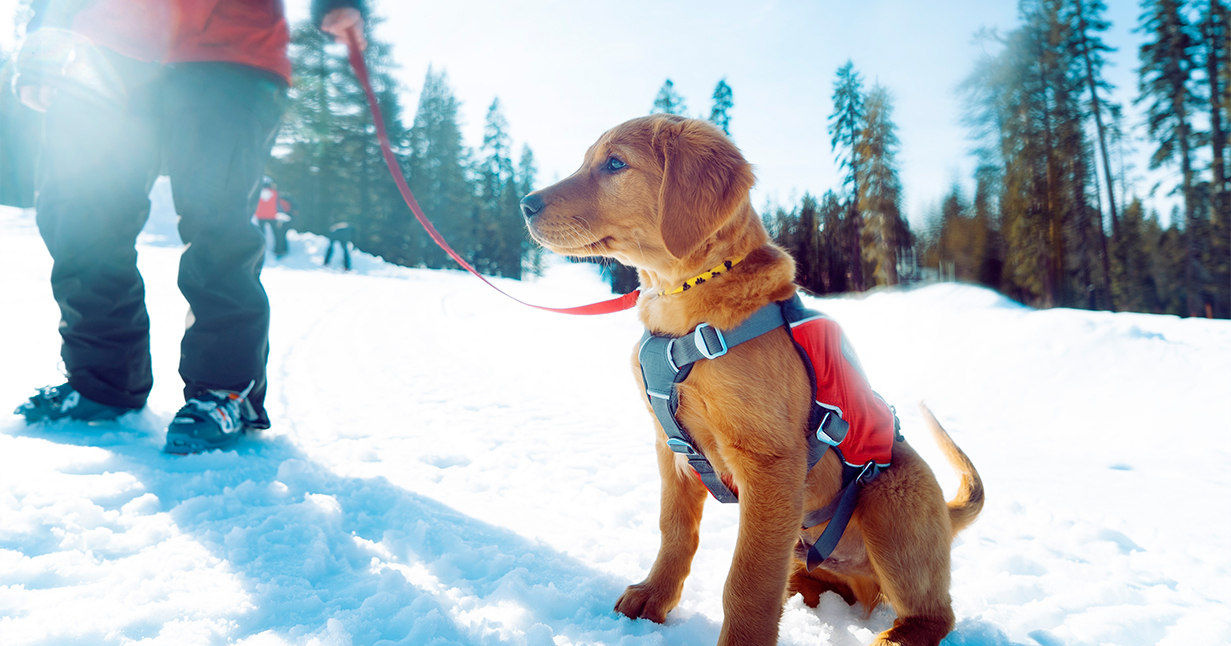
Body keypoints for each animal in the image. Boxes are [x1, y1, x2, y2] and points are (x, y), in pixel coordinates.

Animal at [524, 115, 984, 644]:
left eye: (615, 164)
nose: (525, 204)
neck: (684, 310)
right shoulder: (670, 448)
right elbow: (674, 532)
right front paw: (653, 597)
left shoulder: (771, 463)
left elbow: (747, 579)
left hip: (890, 503)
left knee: (936, 613)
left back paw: (894, 636)